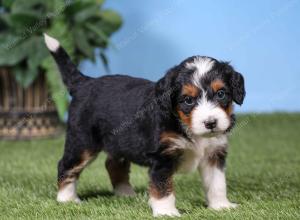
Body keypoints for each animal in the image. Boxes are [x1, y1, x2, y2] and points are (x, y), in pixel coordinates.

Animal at [45, 33, 246, 217]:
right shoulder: (161, 157)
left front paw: (221, 206)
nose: (211, 123)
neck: (185, 126)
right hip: (82, 142)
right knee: (65, 165)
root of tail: (85, 82)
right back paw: (67, 199)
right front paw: (166, 212)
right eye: (188, 100)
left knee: (113, 164)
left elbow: (217, 183)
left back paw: (126, 194)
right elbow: (163, 188)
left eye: (221, 94)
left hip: (119, 141)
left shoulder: (214, 153)